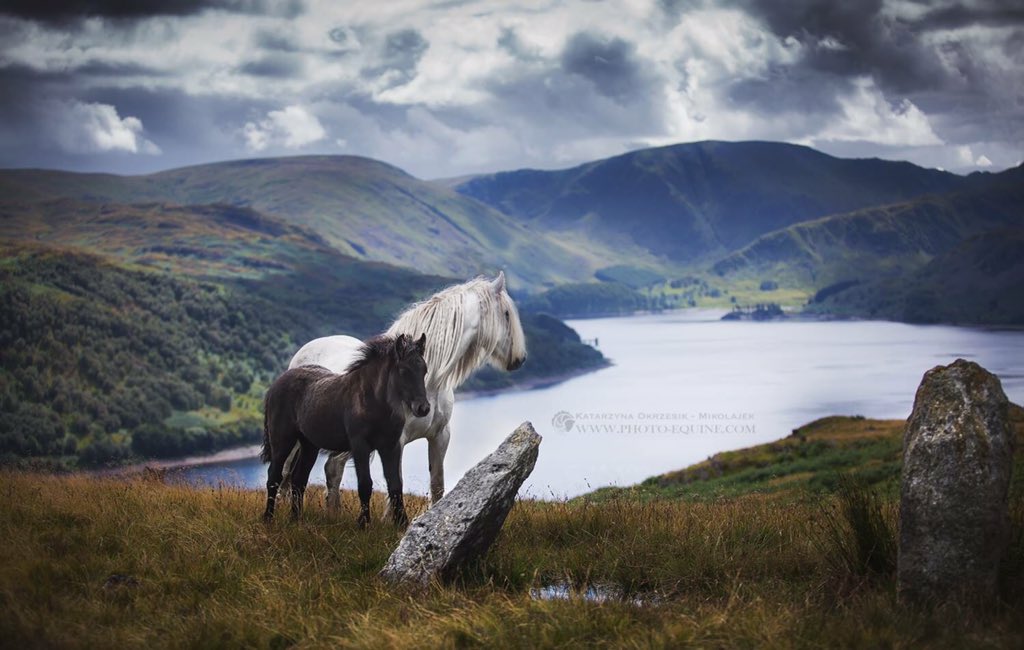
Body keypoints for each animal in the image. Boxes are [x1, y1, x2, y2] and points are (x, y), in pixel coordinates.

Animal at [260, 333, 430, 527]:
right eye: (404, 371)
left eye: (424, 370)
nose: (423, 408)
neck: (372, 400)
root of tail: (277, 383)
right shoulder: (360, 446)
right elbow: (365, 484)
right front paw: (363, 523)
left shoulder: (391, 446)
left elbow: (395, 484)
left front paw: (402, 522)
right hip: (282, 440)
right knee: (274, 476)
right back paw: (268, 518)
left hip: (309, 445)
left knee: (298, 480)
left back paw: (297, 519)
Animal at [282, 271, 527, 513]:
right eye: (507, 314)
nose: (520, 359)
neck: (428, 383)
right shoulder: (394, 442)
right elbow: (395, 486)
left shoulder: (440, 436)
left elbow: (437, 485)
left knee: (332, 468)